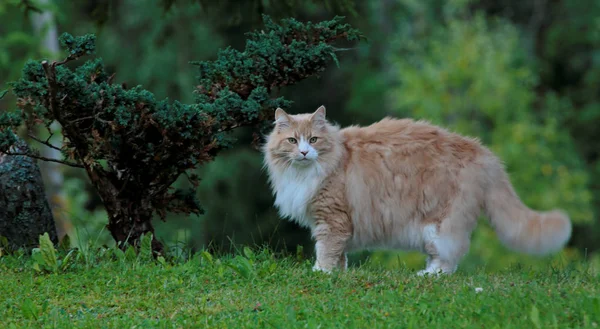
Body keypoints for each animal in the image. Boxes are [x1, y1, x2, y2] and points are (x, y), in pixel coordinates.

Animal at [262, 105, 572, 274]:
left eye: (313, 139)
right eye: (292, 141)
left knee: (449, 258)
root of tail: (481, 151)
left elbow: (325, 250)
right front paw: (338, 273)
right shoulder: (332, 221)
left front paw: (321, 273)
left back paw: (429, 275)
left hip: (439, 224)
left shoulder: (331, 219)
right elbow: (340, 256)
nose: (304, 153)